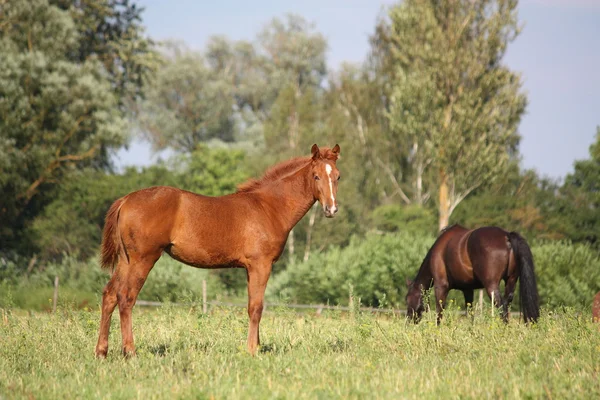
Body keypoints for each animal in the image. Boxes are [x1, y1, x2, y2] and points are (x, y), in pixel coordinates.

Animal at [96, 143, 344, 356]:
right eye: (316, 176)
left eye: (337, 176)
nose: (331, 209)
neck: (269, 207)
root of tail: (125, 200)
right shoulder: (261, 264)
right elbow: (256, 307)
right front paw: (252, 350)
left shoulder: (249, 268)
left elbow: (252, 304)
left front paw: (256, 345)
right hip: (143, 259)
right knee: (126, 298)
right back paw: (130, 351)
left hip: (126, 260)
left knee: (110, 295)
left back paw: (101, 352)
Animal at [408, 225, 540, 324]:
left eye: (407, 298)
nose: (409, 321)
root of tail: (506, 236)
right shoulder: (468, 289)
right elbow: (470, 313)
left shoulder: (440, 286)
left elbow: (439, 312)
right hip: (511, 281)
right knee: (507, 306)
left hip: (491, 287)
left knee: (502, 308)